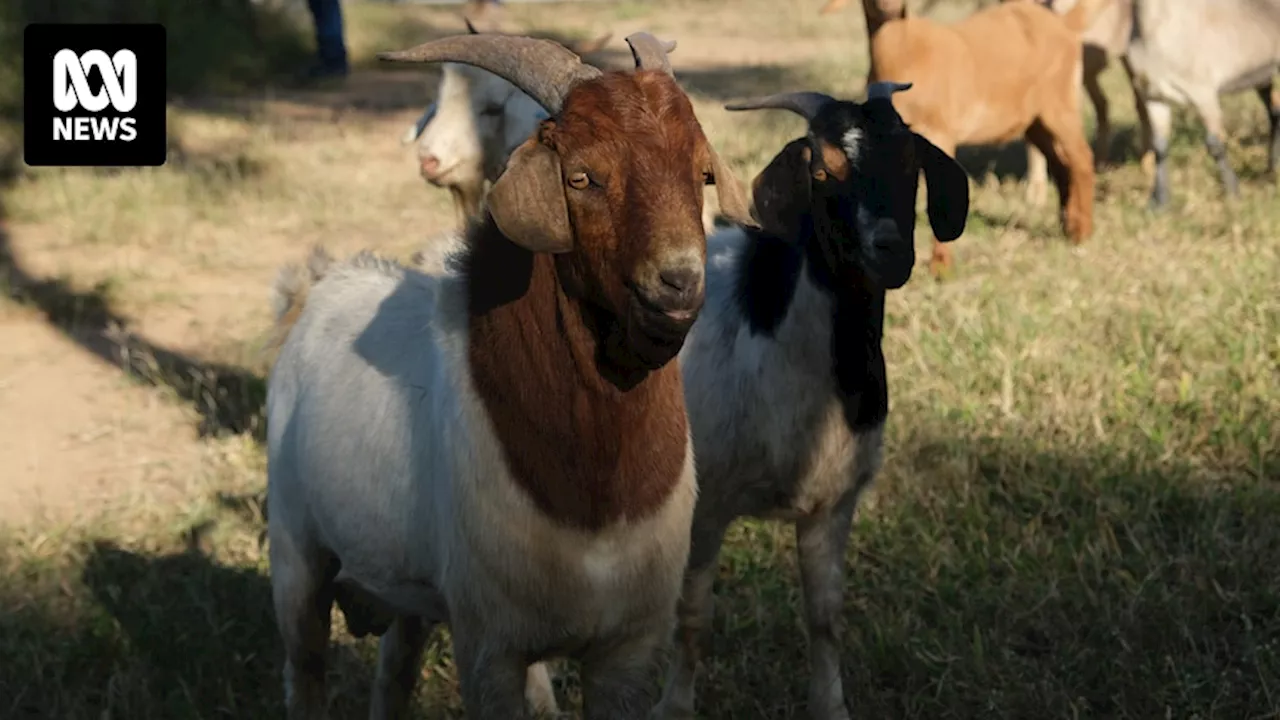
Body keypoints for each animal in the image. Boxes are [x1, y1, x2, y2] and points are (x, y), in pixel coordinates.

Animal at [264, 30, 752, 712]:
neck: (597, 496)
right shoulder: (490, 645)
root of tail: (317, 285)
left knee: (394, 672)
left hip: (406, 594)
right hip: (296, 559)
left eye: (701, 173)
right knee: (304, 671)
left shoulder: (627, 646)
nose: (678, 284)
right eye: (581, 176)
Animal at [855, 0, 1105, 274]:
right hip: (1034, 120)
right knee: (1061, 165)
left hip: (1059, 104)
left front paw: (941, 267)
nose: (888, 7)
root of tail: (1063, 24)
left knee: (1081, 159)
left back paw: (1082, 232)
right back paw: (1067, 227)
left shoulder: (940, 132)